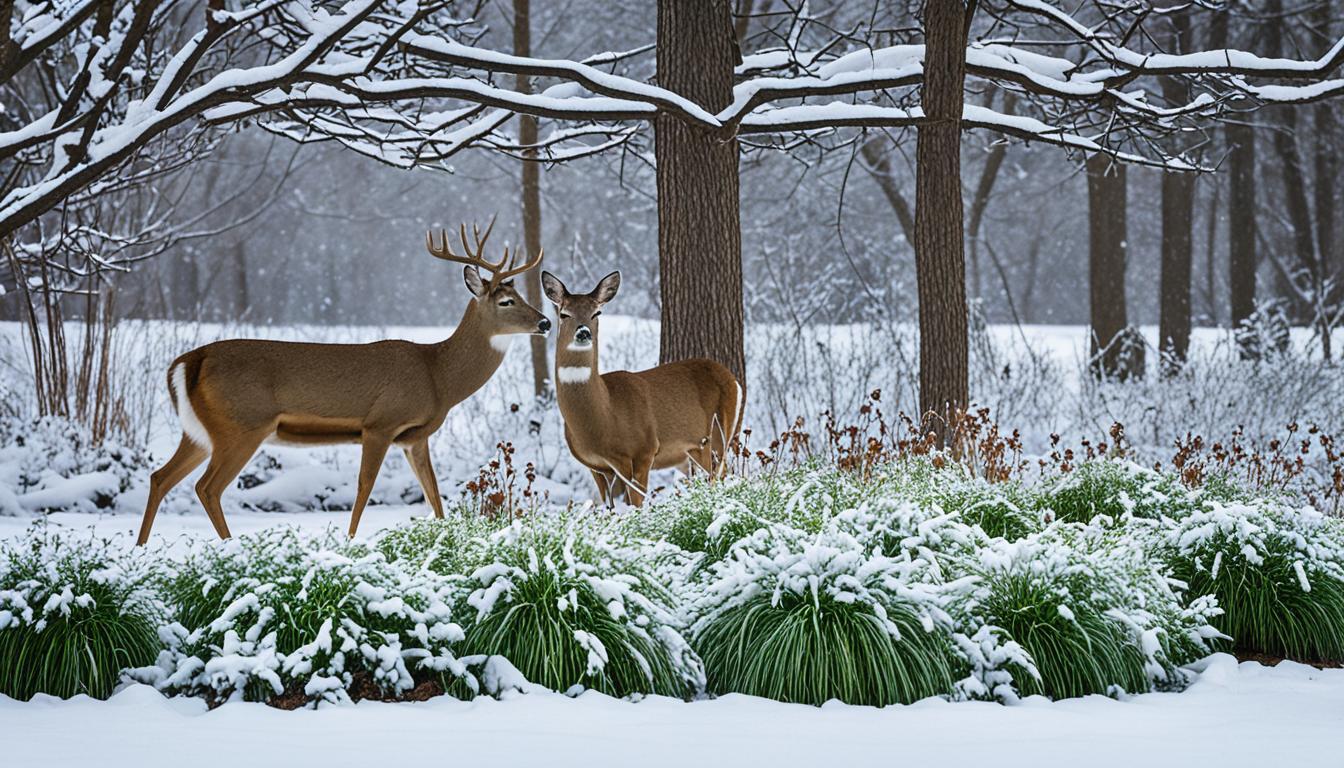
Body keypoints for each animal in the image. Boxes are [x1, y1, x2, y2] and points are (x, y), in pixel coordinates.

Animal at [137, 220, 551, 546]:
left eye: (521, 295)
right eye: (506, 302)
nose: (546, 322)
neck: (438, 377)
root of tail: (189, 361)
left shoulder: (415, 437)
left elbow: (433, 494)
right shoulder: (380, 422)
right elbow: (364, 487)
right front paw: (349, 544)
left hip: (200, 431)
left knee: (160, 477)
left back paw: (141, 550)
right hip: (242, 425)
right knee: (206, 488)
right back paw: (230, 546)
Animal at [537, 271, 747, 511]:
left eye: (596, 312)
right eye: (564, 314)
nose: (583, 333)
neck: (605, 416)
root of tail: (735, 381)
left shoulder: (644, 451)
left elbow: (636, 506)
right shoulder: (597, 467)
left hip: (718, 436)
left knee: (721, 476)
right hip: (694, 451)